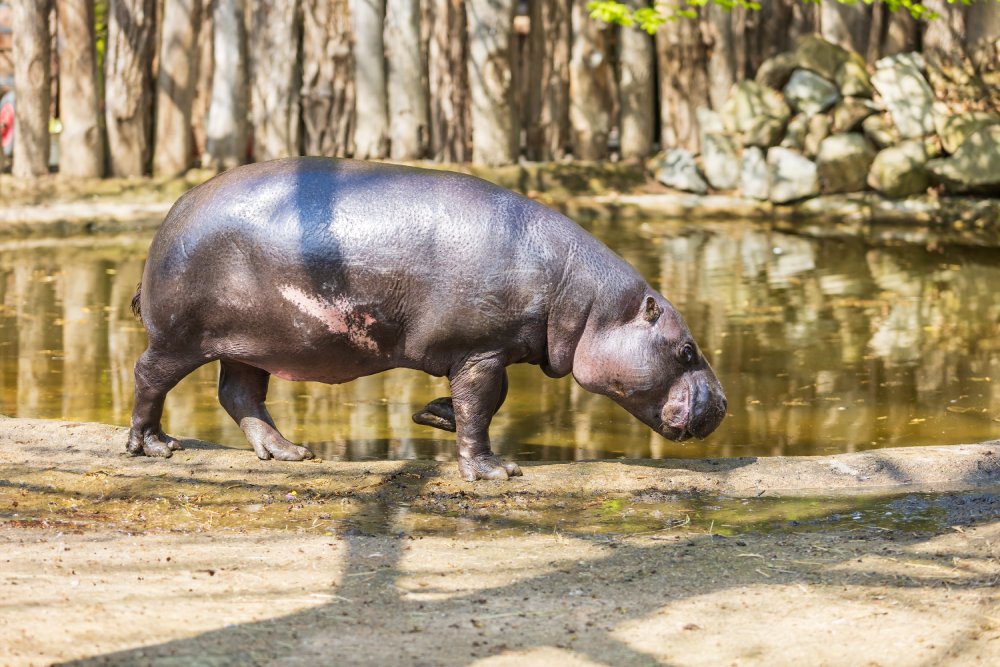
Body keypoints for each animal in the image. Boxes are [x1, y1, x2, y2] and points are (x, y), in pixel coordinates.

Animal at [128, 158, 727, 480]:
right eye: (687, 350)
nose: (723, 403)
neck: (587, 302)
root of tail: (173, 212)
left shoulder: (484, 351)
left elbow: (477, 402)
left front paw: (434, 415)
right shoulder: (484, 348)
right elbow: (483, 405)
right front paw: (495, 472)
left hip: (254, 343)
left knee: (240, 394)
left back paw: (290, 453)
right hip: (181, 337)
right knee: (149, 376)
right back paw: (155, 446)